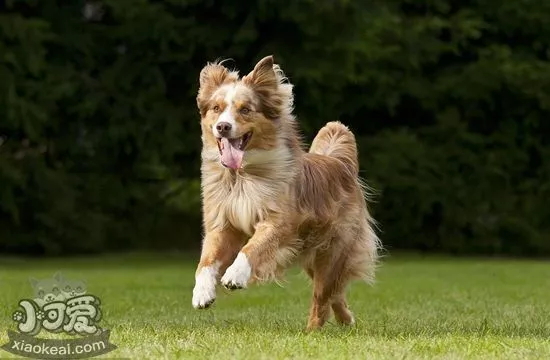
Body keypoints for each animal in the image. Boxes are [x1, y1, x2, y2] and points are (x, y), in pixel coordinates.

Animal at [192, 55, 382, 330]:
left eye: (245, 109)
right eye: (216, 108)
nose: (223, 127)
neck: (242, 177)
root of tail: (339, 163)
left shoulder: (279, 223)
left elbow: (252, 248)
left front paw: (235, 275)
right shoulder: (222, 225)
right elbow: (205, 261)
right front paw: (202, 293)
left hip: (332, 252)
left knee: (322, 296)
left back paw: (312, 332)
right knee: (334, 293)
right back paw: (346, 320)